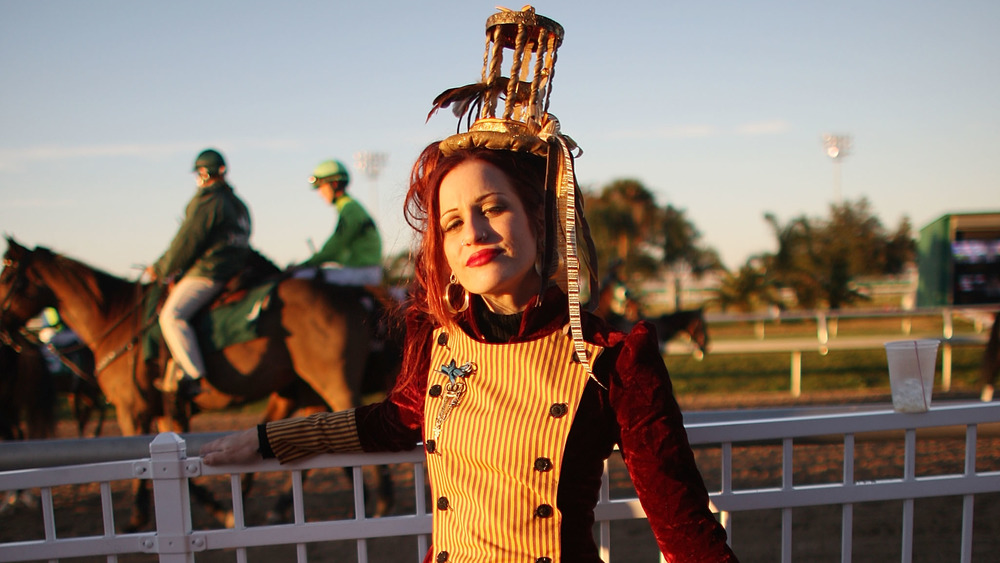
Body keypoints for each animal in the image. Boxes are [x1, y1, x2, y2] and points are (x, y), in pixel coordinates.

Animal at [2, 237, 406, 528]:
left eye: (6, 275)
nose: (5, 330)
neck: (116, 322)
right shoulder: (164, 411)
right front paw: (224, 507)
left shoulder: (132, 408)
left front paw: (139, 517)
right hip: (301, 389)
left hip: (331, 381)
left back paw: (382, 500)